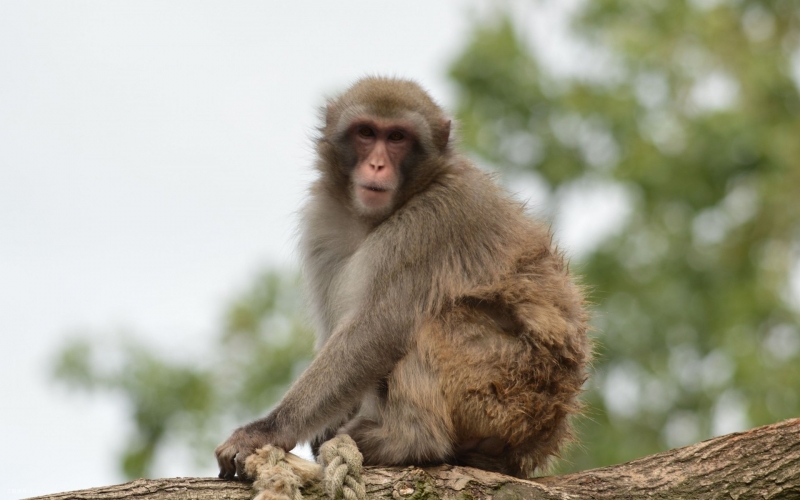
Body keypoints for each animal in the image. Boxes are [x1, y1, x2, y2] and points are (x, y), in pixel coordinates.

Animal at [216, 76, 592, 494]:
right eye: (366, 133)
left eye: (397, 137)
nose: (377, 164)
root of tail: (543, 435)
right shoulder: (322, 221)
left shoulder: (430, 223)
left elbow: (375, 331)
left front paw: (267, 430)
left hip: (507, 391)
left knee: (431, 324)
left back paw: (411, 440)